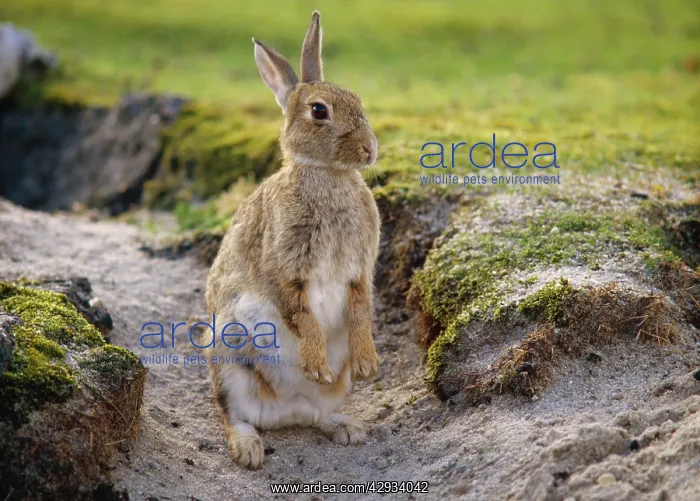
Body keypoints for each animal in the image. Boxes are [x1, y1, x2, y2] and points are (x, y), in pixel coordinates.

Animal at [204, 10, 381, 469]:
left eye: (357, 99)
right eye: (319, 110)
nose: (369, 150)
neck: (327, 175)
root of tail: (286, 411)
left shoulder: (359, 270)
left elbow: (359, 309)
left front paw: (369, 363)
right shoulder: (283, 267)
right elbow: (301, 313)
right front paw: (314, 363)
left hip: (332, 389)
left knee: (319, 414)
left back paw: (347, 427)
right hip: (228, 357)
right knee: (233, 415)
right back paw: (249, 450)